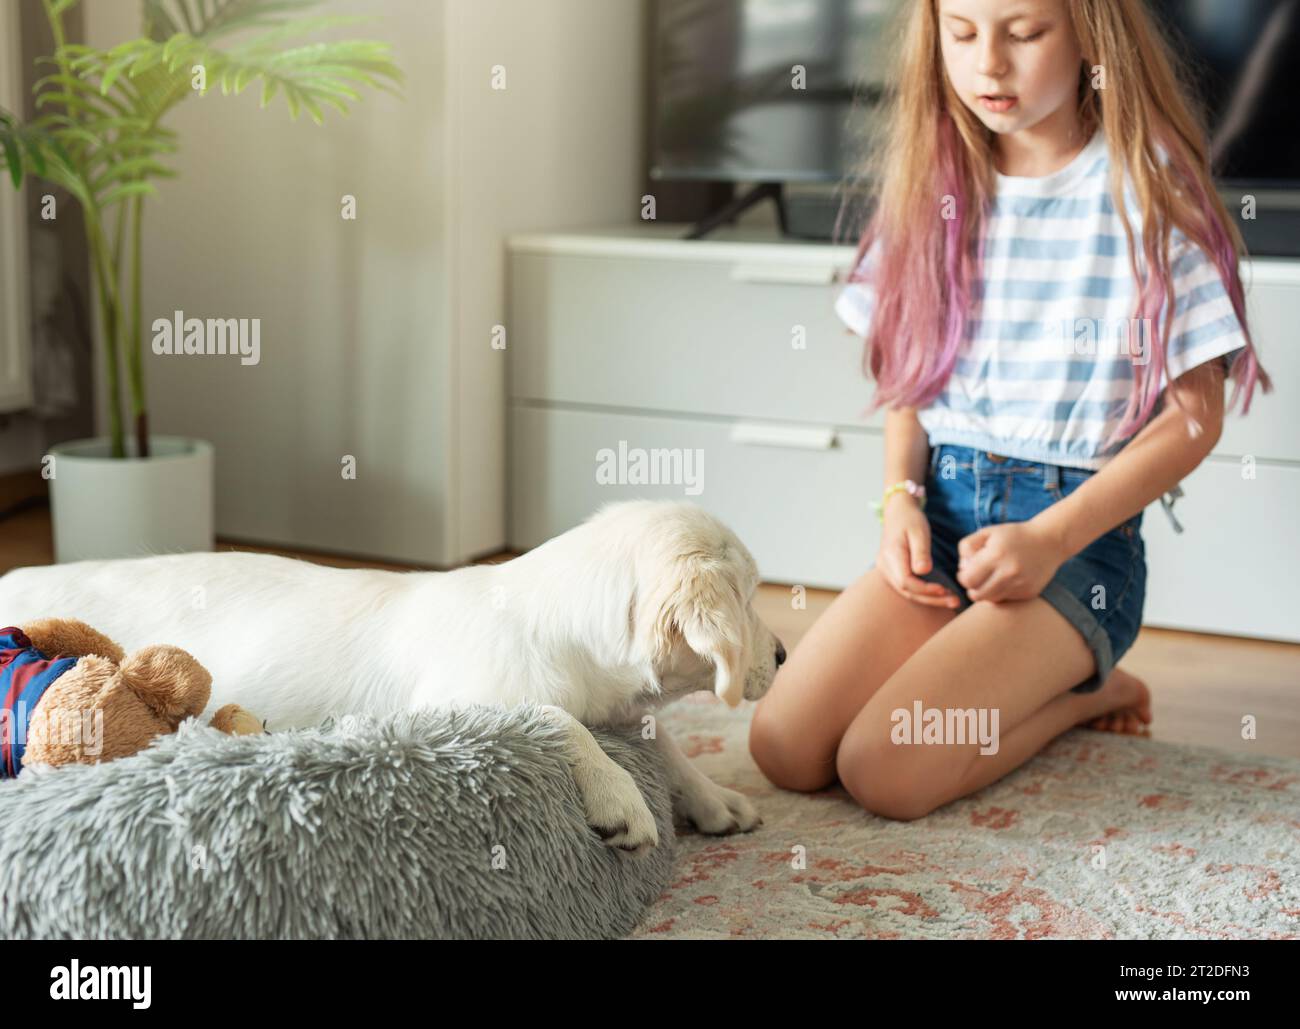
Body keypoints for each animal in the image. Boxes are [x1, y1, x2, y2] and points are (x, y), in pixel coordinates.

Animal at [0, 498, 780, 852]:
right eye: (746, 599)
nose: (780, 656)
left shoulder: (621, 704)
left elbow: (663, 740)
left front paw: (711, 798)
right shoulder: (447, 708)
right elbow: (555, 719)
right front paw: (620, 795)